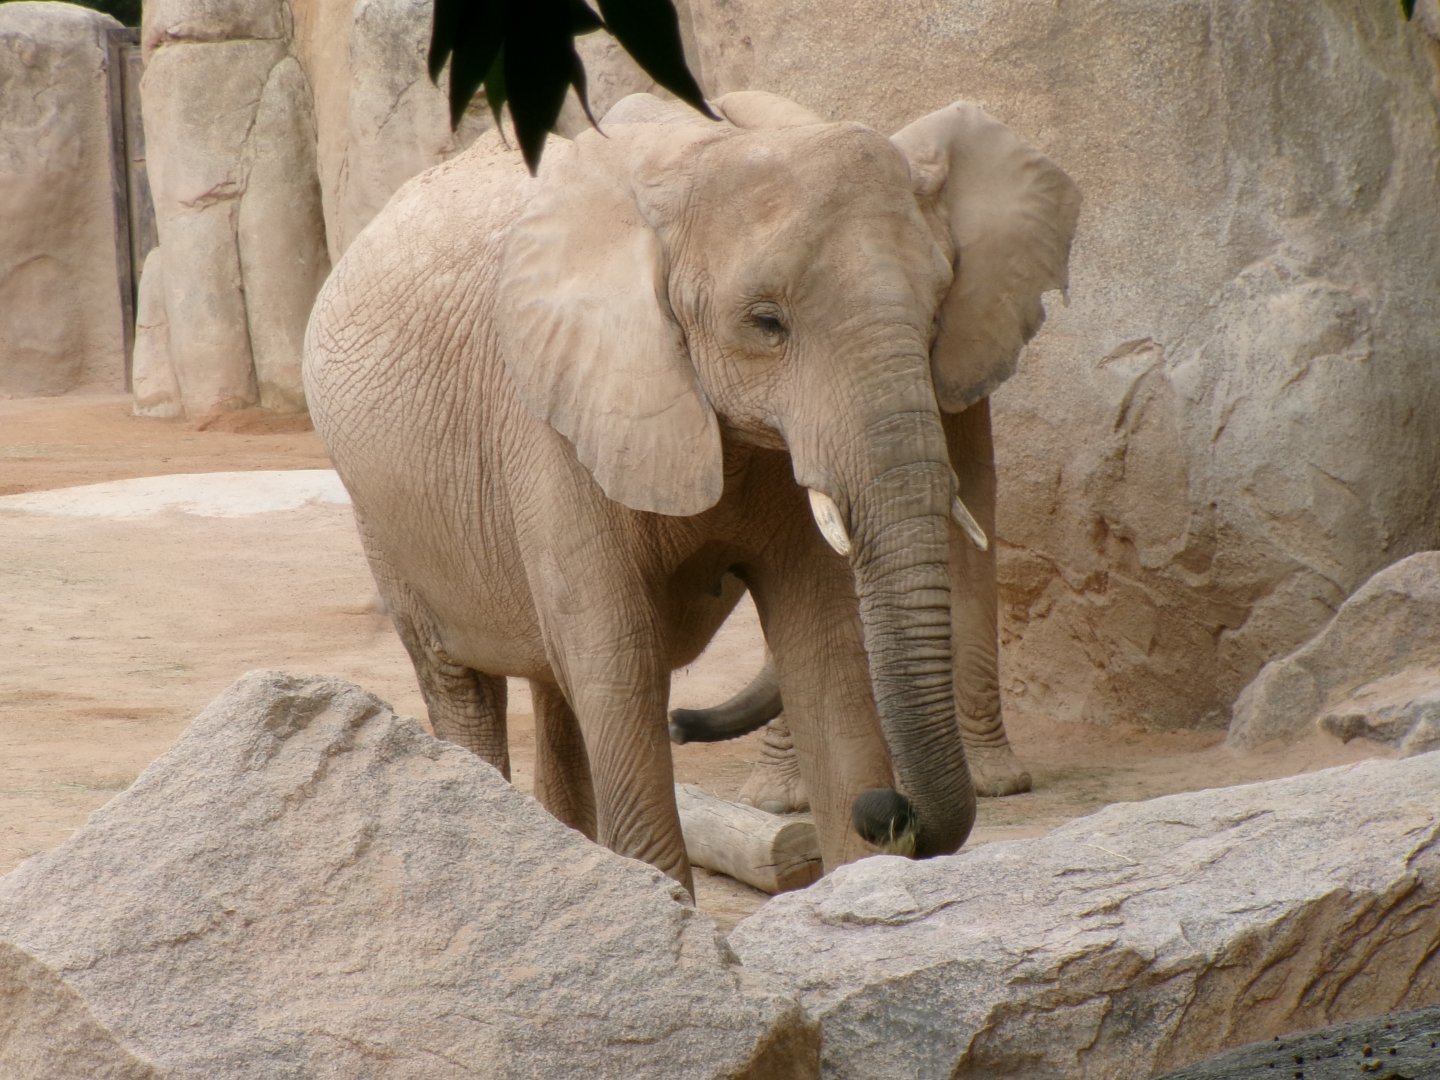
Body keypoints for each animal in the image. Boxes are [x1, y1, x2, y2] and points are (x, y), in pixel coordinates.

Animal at [303, 89, 1079, 895]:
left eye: (936, 312)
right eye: (767, 323)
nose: (887, 809)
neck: (703, 153)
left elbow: (822, 643)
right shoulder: (554, 419)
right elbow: (617, 657)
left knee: (554, 686)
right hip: (384, 516)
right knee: (462, 683)